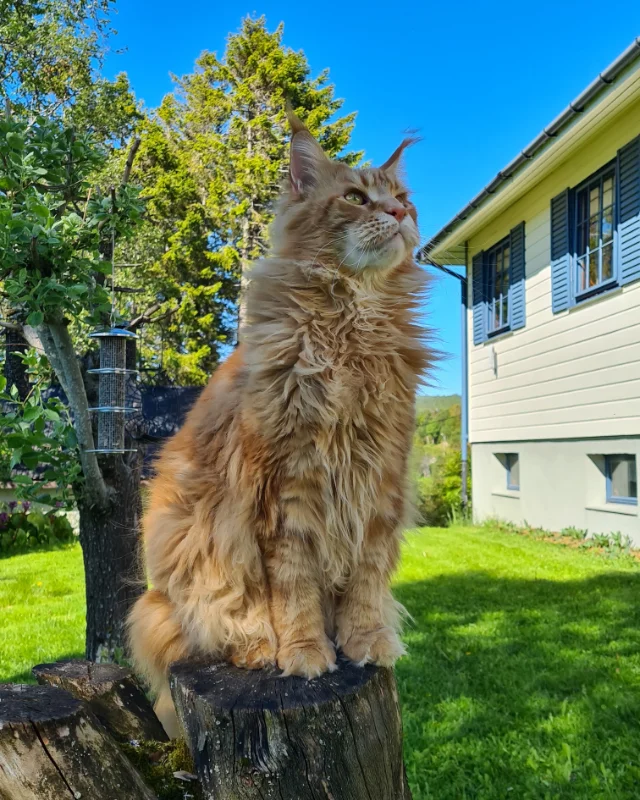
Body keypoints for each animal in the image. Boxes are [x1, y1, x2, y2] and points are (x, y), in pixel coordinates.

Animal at [127, 108, 432, 737]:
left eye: (402, 200)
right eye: (355, 198)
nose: (397, 216)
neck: (351, 330)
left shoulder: (379, 483)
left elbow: (367, 581)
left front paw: (366, 642)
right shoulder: (284, 491)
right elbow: (292, 590)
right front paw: (305, 652)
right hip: (185, 563)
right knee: (211, 628)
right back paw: (257, 650)